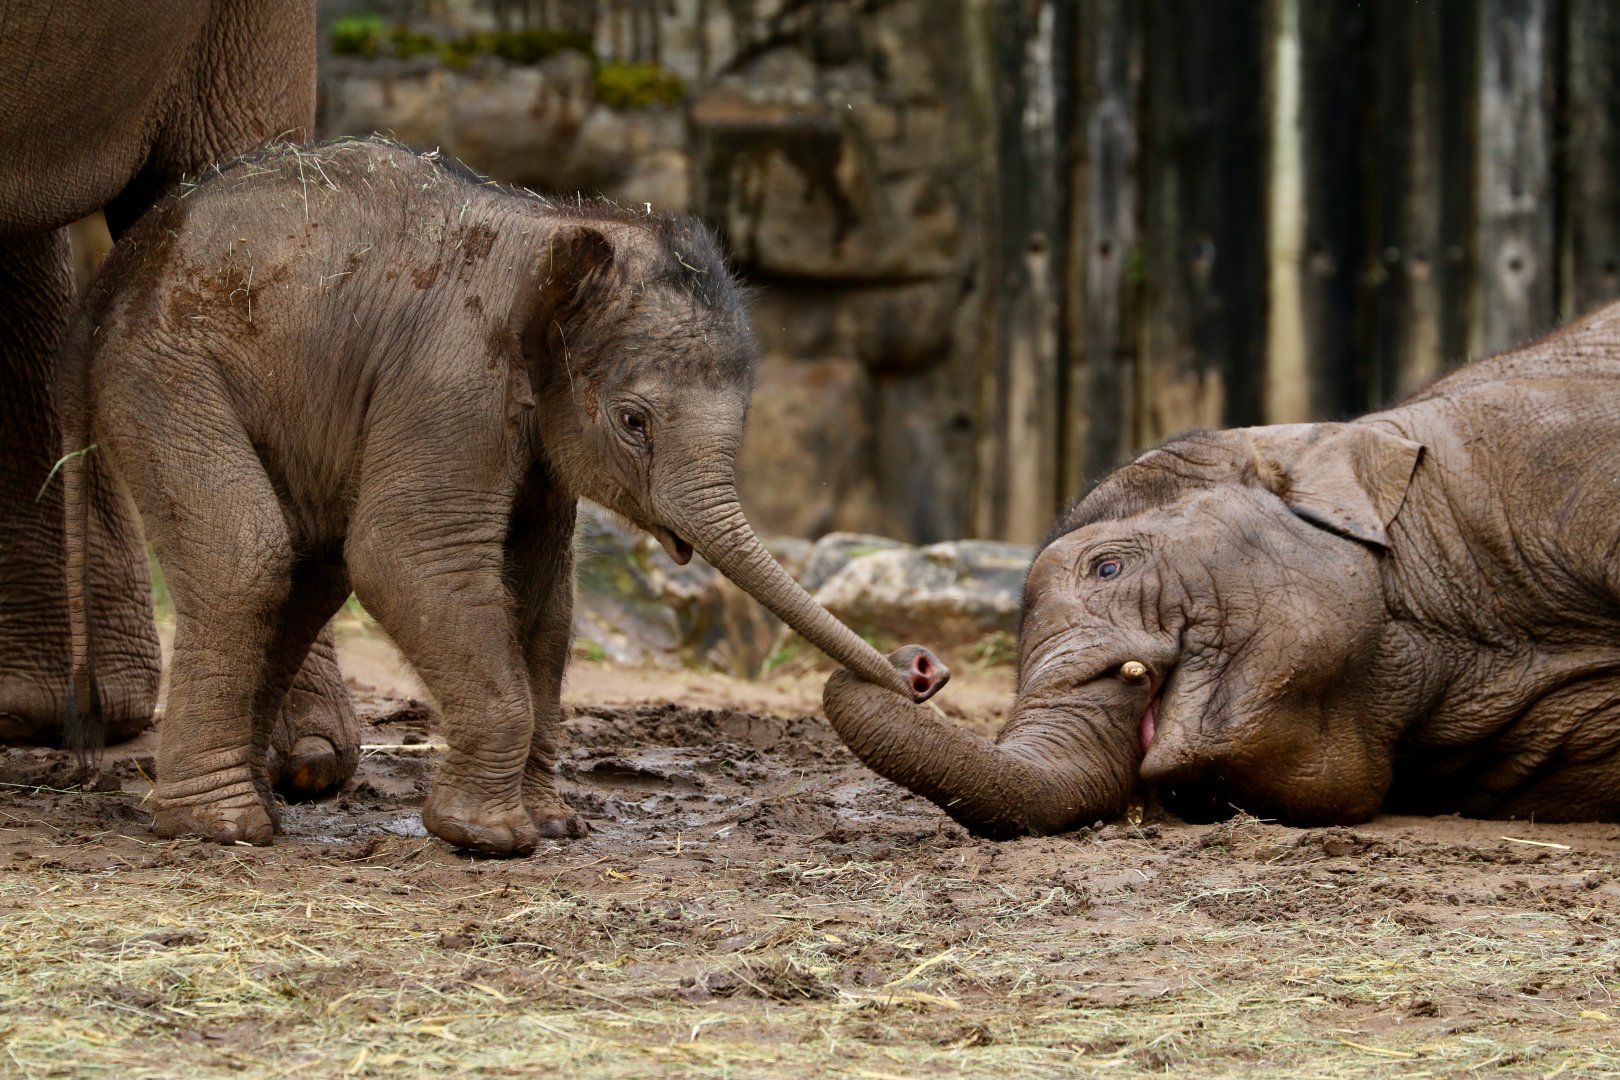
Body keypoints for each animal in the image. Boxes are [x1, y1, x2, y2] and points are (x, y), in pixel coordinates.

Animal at [60, 137, 948, 855]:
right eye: (633, 422)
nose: (922, 670)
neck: (562, 226)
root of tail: (120, 267)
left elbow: (542, 603)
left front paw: (554, 826)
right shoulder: (453, 377)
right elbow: (408, 557)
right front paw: (488, 839)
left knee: (309, 569)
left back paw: (258, 810)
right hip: (166, 372)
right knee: (251, 552)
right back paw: (221, 827)